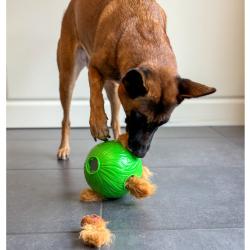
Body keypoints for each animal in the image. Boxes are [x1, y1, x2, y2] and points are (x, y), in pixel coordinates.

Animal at [56, 0, 215, 159]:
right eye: (138, 116)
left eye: (162, 123)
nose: (140, 154)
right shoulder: (94, 68)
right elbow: (95, 97)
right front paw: (98, 124)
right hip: (67, 79)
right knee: (66, 119)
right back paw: (64, 147)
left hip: (114, 91)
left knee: (115, 120)